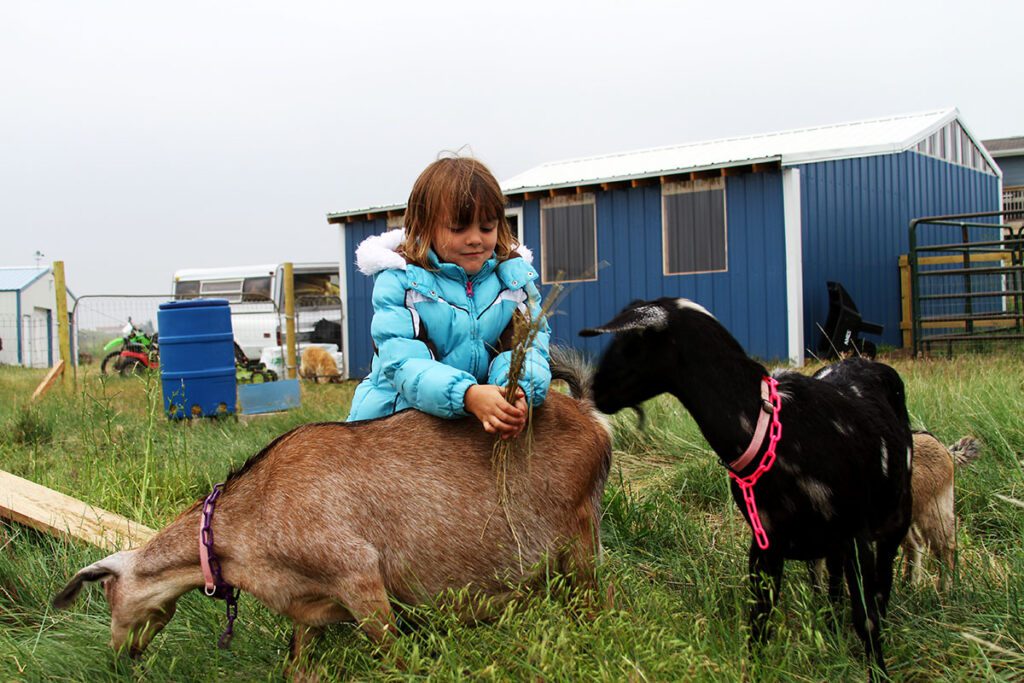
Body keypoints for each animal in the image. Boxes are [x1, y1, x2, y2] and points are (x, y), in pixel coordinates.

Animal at [54, 360, 606, 671]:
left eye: (108, 594)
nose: (121, 655)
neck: (245, 522)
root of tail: (589, 414)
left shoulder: (359, 575)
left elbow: (395, 658)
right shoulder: (310, 606)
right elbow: (297, 665)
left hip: (579, 537)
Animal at [585, 296, 913, 671]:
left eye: (630, 342)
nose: (596, 392)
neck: (774, 428)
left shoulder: (855, 532)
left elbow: (866, 619)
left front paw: (879, 671)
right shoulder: (765, 540)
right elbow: (759, 620)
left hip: (893, 522)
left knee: (881, 587)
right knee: (832, 586)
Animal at [905, 432, 983, 589]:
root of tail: (944, 450)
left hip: (935, 509)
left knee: (945, 547)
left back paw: (945, 590)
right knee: (915, 544)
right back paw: (910, 587)